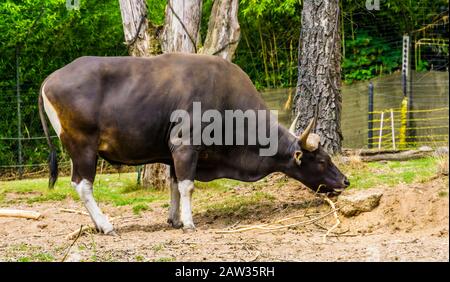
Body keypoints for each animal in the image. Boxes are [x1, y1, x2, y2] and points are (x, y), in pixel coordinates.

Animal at [38, 52, 350, 234]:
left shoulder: (172, 154)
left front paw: (174, 219)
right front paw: (188, 223)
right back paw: (106, 225)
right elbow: (188, 185)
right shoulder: (186, 146)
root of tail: (48, 80)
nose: (345, 181)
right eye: (322, 160)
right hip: (83, 147)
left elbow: (175, 184)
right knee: (83, 185)